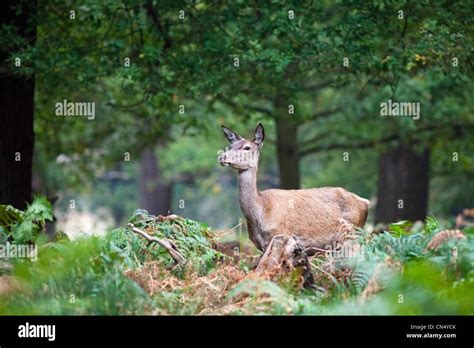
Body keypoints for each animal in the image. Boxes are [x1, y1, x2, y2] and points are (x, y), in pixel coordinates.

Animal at [218, 123, 370, 254]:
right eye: (230, 145)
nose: (222, 156)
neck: (260, 213)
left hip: (351, 234)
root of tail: (366, 202)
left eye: (247, 148)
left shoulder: (280, 236)